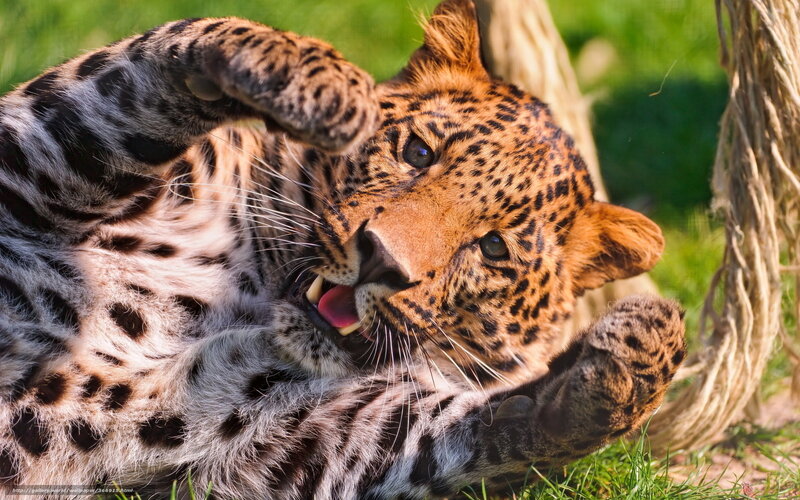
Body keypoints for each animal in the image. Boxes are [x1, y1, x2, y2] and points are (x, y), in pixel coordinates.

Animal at [0, 0, 686, 498]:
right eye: (417, 152)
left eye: (492, 249)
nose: (382, 258)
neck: (244, 291)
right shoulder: (26, 161)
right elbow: (140, 78)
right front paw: (312, 79)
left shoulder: (278, 434)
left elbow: (477, 430)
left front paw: (643, 347)